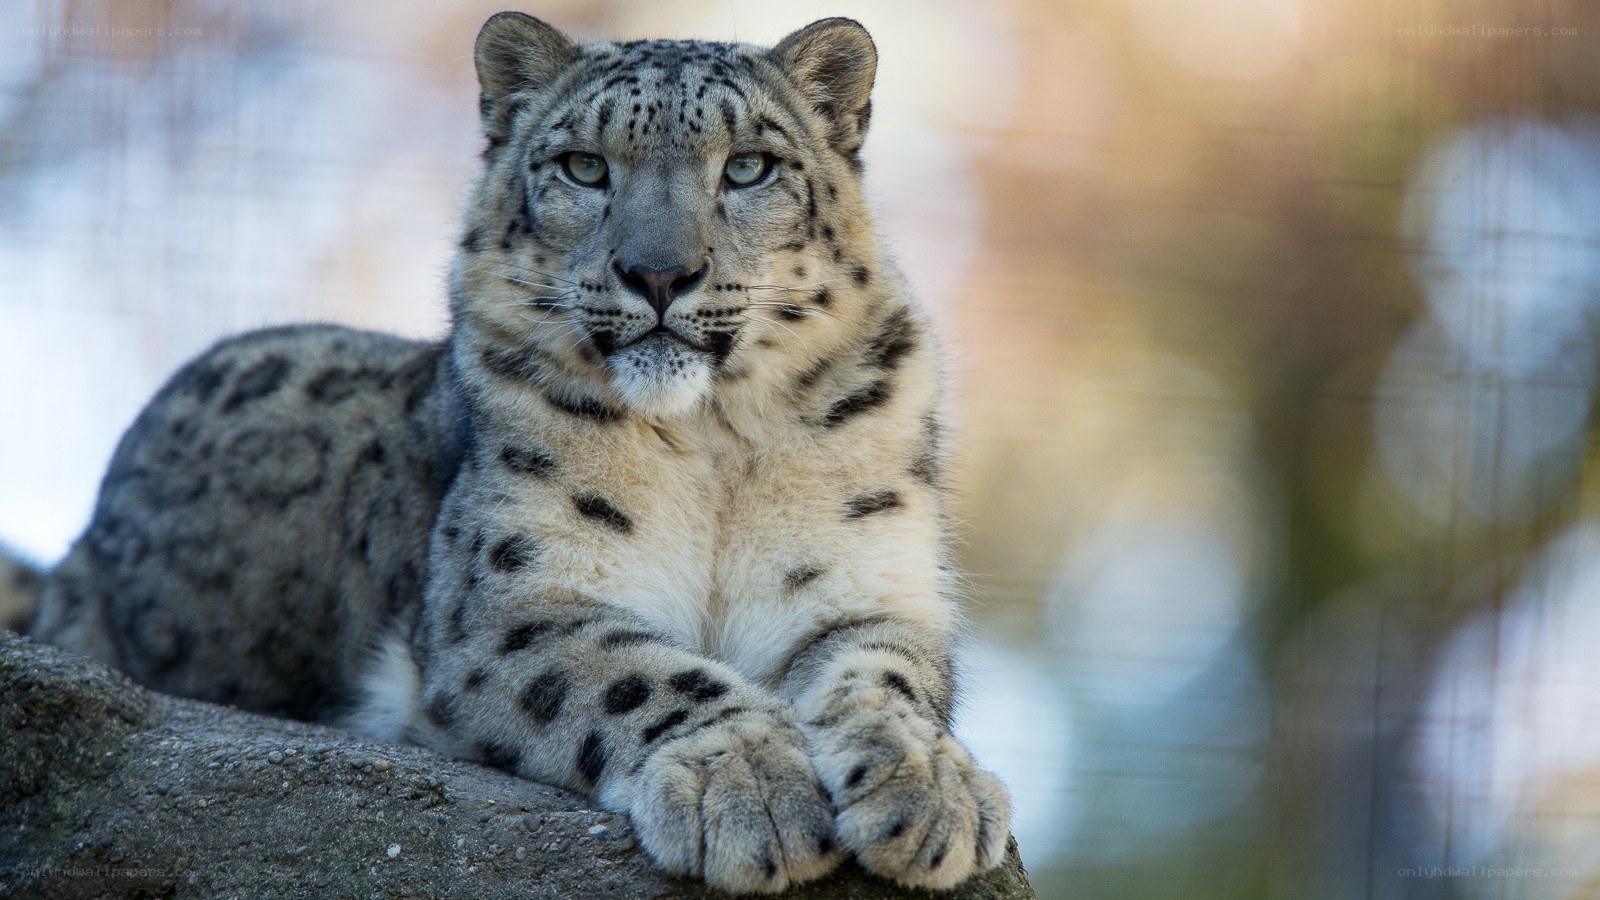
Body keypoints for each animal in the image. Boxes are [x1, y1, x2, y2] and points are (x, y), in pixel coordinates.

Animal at [16, 12, 1012, 894]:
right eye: (584, 165)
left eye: (749, 167)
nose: (659, 273)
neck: (713, 447)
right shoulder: (512, 606)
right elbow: (638, 674)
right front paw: (747, 787)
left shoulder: (864, 582)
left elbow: (887, 676)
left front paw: (935, 789)